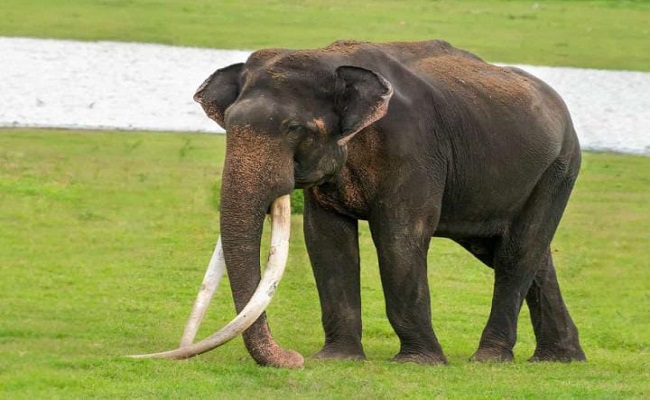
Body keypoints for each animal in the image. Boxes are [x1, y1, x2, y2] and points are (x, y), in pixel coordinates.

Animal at [132, 39, 584, 368]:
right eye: (229, 125)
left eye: (294, 128)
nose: (292, 358)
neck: (330, 58)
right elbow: (326, 239)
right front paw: (336, 359)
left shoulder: (413, 151)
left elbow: (399, 238)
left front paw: (418, 363)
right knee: (523, 254)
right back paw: (559, 359)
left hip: (560, 167)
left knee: (516, 253)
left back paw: (489, 359)